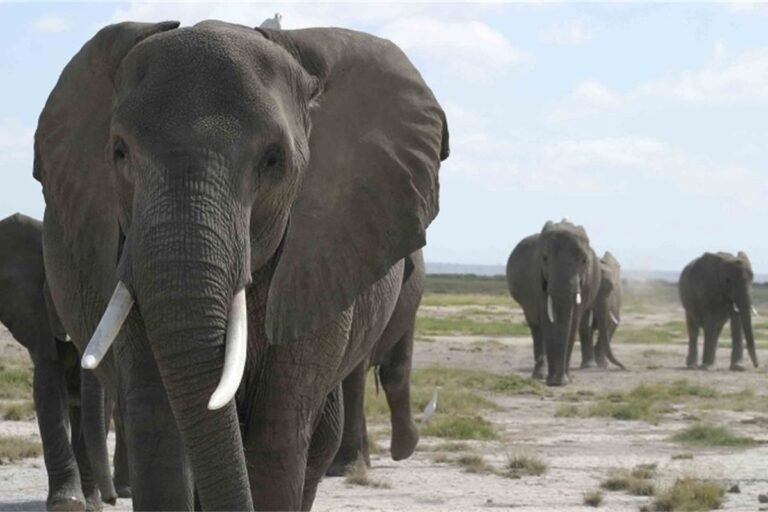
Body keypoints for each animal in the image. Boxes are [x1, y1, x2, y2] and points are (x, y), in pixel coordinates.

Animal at [0, 213, 127, 510]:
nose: (111, 500)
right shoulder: (38, 319)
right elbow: (47, 389)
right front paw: (66, 503)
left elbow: (101, 404)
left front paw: (89, 504)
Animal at [506, 220, 601, 386]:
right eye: (544, 259)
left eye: (584, 261)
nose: (557, 381)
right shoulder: (538, 279)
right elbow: (546, 317)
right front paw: (555, 382)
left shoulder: (584, 284)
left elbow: (573, 321)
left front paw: (564, 381)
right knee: (536, 327)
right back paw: (539, 375)